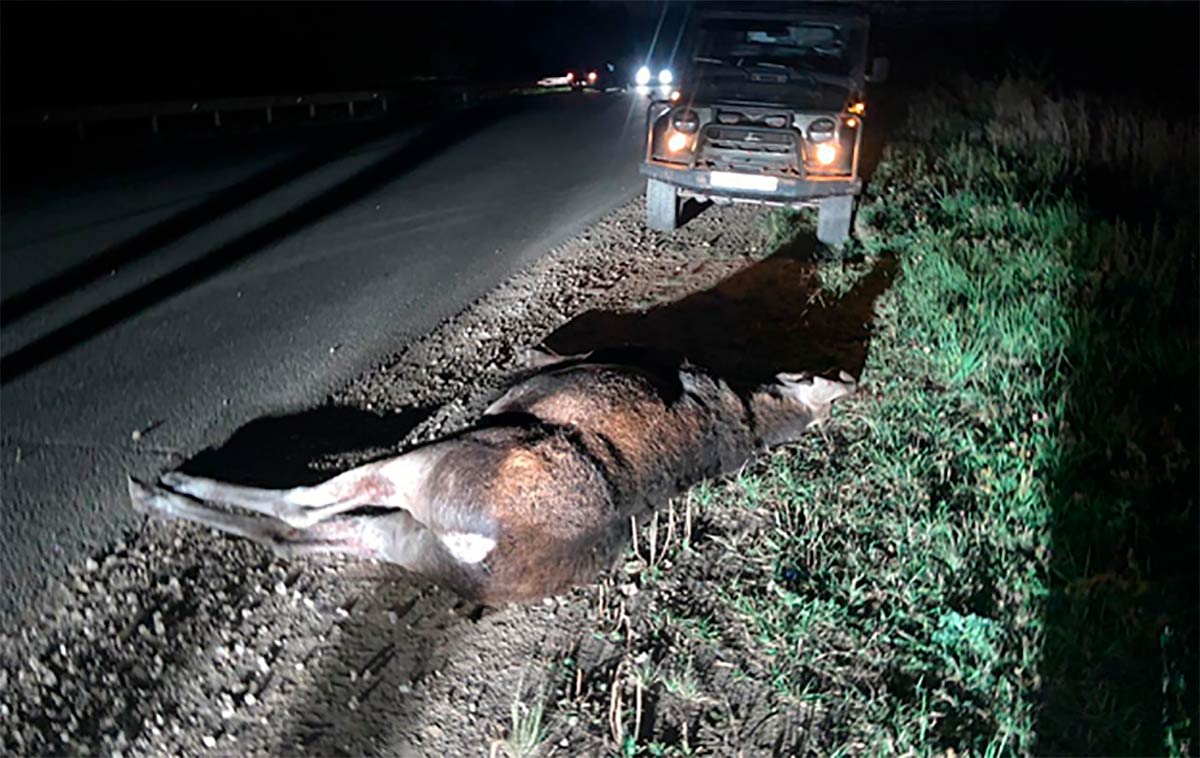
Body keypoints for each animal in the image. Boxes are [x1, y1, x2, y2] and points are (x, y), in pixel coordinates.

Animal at [131, 347, 859, 604]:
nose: (826, 369)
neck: (756, 414)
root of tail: (492, 545)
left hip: (429, 471)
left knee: (300, 505)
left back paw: (161, 488)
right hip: (415, 542)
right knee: (295, 533)